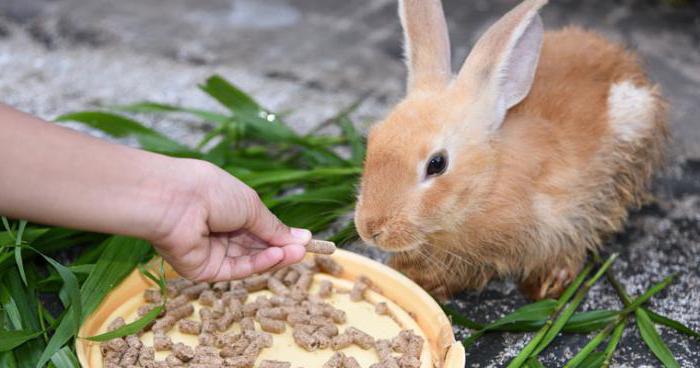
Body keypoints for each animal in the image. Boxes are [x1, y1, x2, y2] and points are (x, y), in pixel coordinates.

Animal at [356, 0, 668, 300]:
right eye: (373, 137)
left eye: (437, 164)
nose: (371, 230)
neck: (488, 181)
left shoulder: (567, 217)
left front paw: (547, 286)